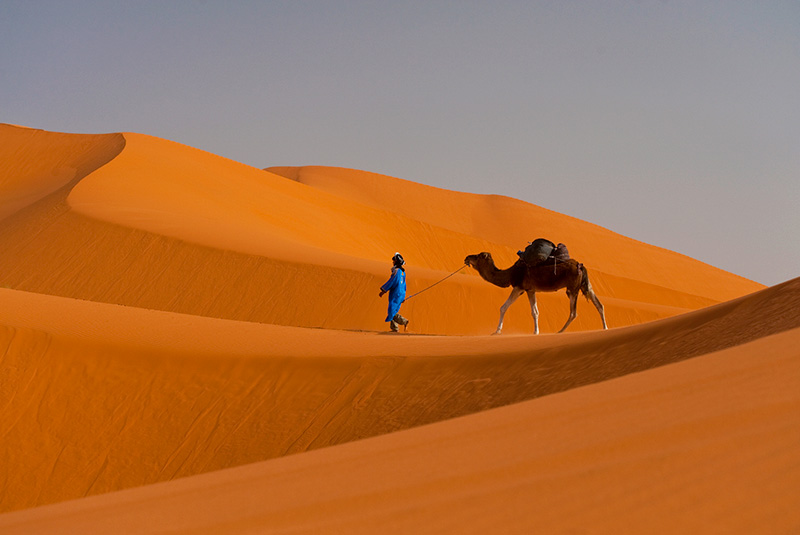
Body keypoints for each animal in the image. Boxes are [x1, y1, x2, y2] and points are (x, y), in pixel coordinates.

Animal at [462, 252, 608, 336]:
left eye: (479, 256)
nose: (467, 258)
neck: (510, 273)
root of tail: (581, 266)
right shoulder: (531, 290)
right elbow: (535, 312)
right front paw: (536, 331)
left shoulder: (519, 287)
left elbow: (503, 307)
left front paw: (497, 331)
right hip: (585, 285)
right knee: (599, 305)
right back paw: (605, 328)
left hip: (572, 288)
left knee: (574, 312)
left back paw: (560, 331)